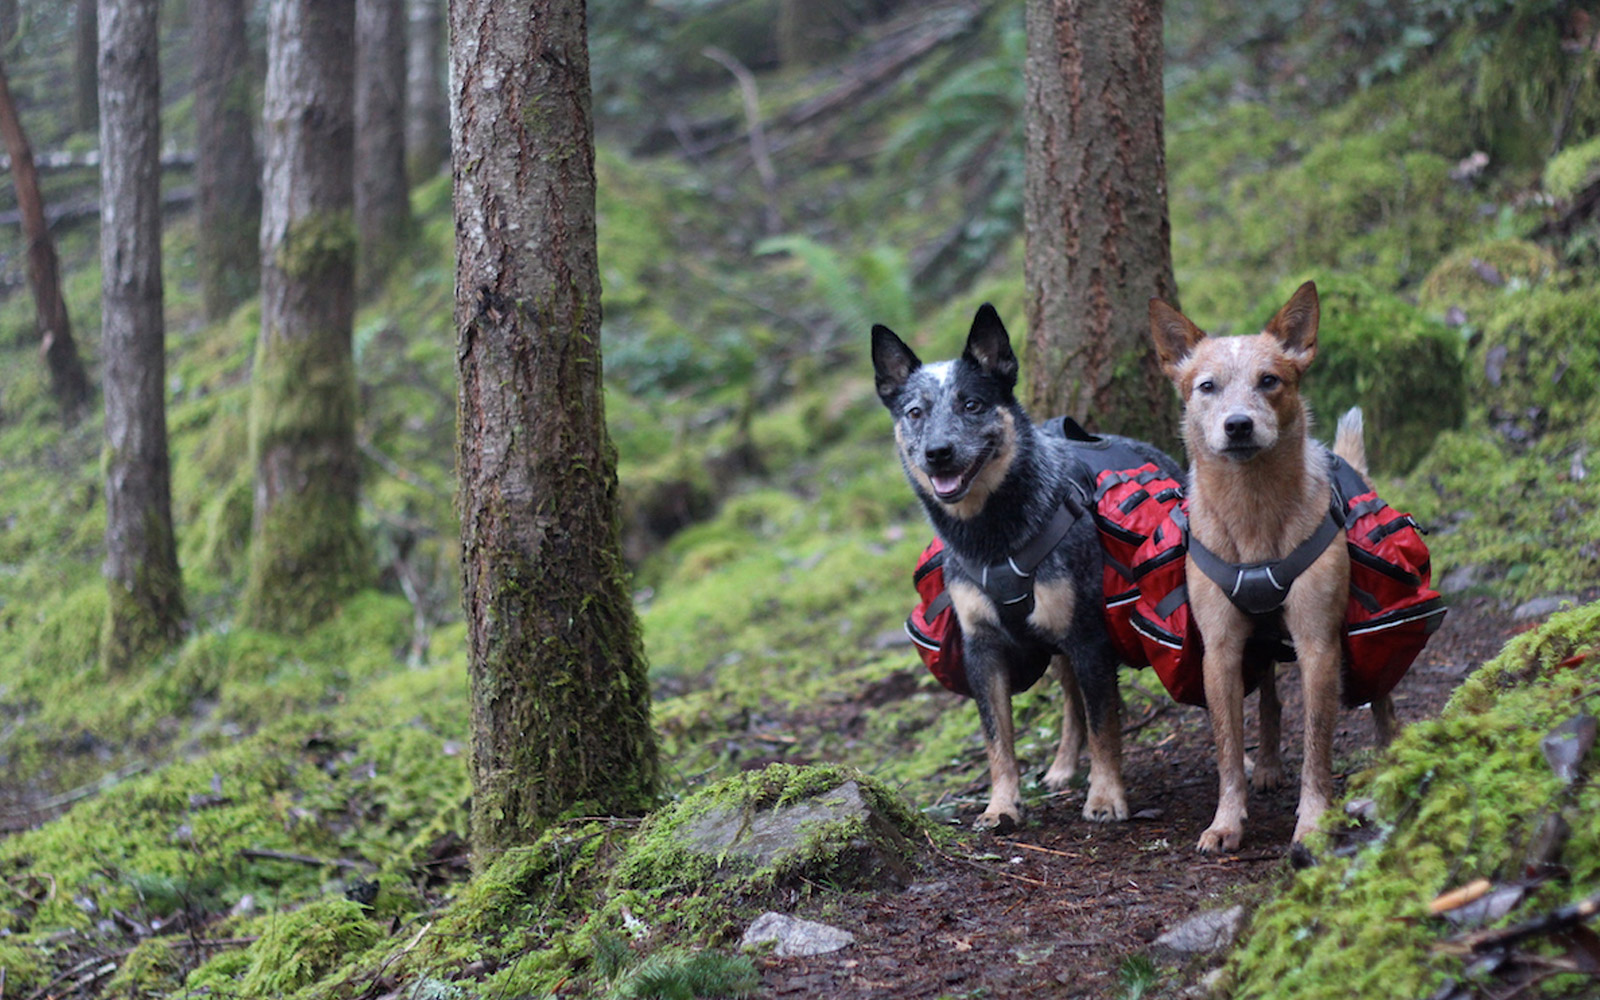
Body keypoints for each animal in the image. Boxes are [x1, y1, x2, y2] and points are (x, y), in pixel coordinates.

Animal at [870, 302, 1184, 825]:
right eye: (915, 412)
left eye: (972, 405)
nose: (938, 453)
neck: (992, 540)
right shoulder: (983, 649)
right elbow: (998, 740)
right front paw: (1001, 805)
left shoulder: (1088, 636)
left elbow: (1105, 726)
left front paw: (1105, 797)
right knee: (1070, 700)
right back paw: (1061, 768)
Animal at [1152, 281, 1388, 851]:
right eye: (1207, 386)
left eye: (1269, 381)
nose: (1238, 424)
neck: (1254, 514)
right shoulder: (1219, 650)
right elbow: (1227, 748)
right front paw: (1226, 821)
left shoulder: (1318, 643)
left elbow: (1318, 746)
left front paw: (1313, 822)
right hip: (1254, 644)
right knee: (1270, 703)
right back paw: (1267, 768)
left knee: (1383, 702)